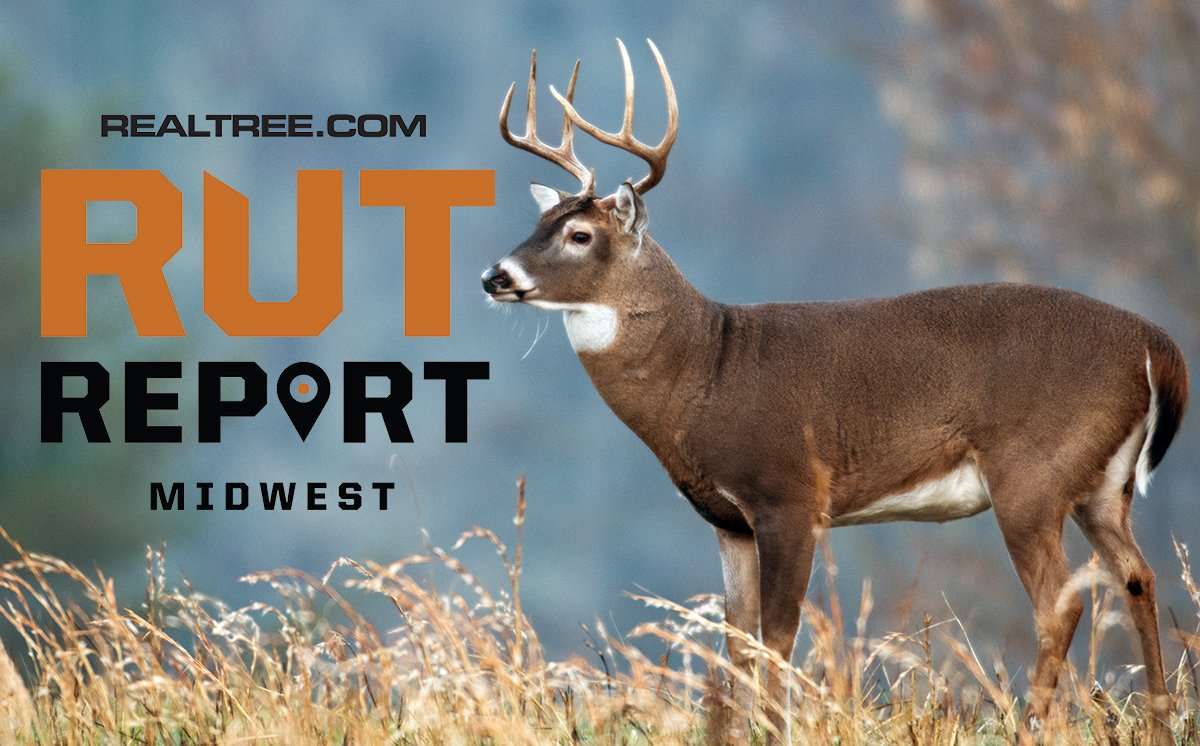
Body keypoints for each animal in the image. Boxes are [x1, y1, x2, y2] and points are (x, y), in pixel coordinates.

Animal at [482, 39, 1189, 744]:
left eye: (580, 235)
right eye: (538, 222)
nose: (496, 275)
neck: (707, 367)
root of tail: (1159, 347)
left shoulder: (790, 495)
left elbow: (778, 635)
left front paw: (774, 729)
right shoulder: (729, 521)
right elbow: (739, 641)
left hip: (1031, 475)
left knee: (1060, 604)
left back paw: (1034, 725)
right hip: (1102, 486)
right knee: (1137, 577)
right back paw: (1158, 719)